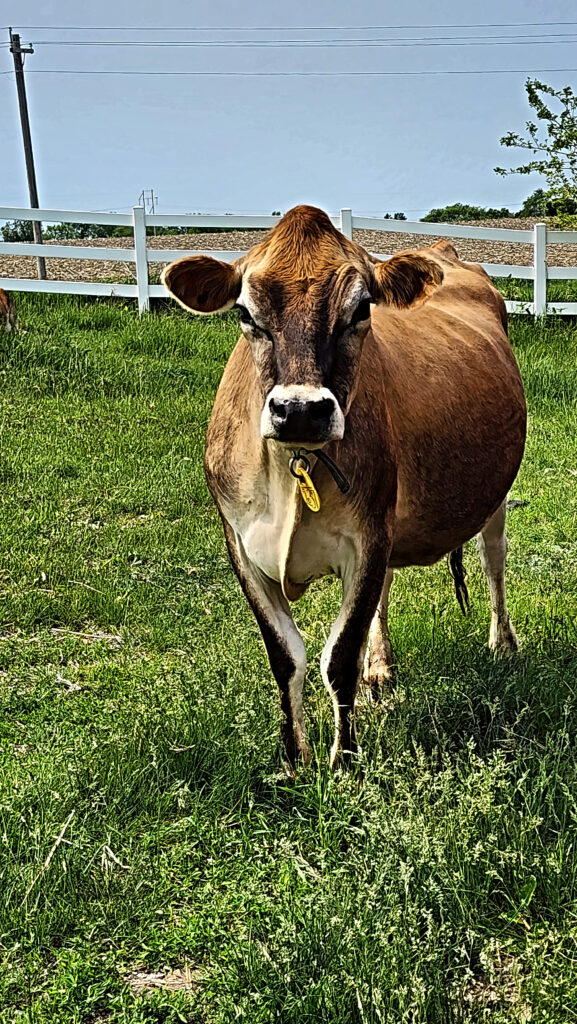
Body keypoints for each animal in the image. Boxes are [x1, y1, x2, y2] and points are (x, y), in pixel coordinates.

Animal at [162, 205, 528, 770]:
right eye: (246, 313)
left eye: (360, 310)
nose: (300, 410)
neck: (292, 472)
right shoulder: (242, 547)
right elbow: (286, 655)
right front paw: (295, 759)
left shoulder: (368, 539)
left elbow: (338, 656)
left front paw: (344, 762)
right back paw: (381, 666)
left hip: (492, 496)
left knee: (494, 561)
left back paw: (502, 642)